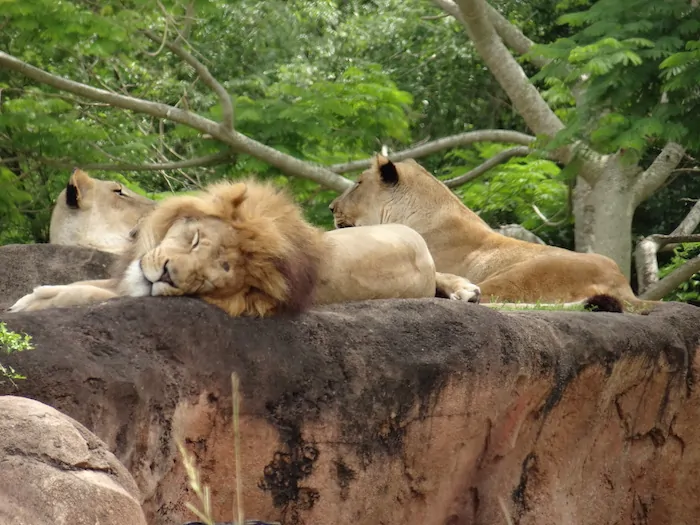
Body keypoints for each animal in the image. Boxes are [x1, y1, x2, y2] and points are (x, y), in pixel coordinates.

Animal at [9, 178, 482, 316]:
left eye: (212, 276)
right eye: (194, 238)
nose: (167, 275)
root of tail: (417, 246)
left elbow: (86, 293)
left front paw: (31, 304)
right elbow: (86, 283)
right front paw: (37, 293)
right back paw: (465, 290)